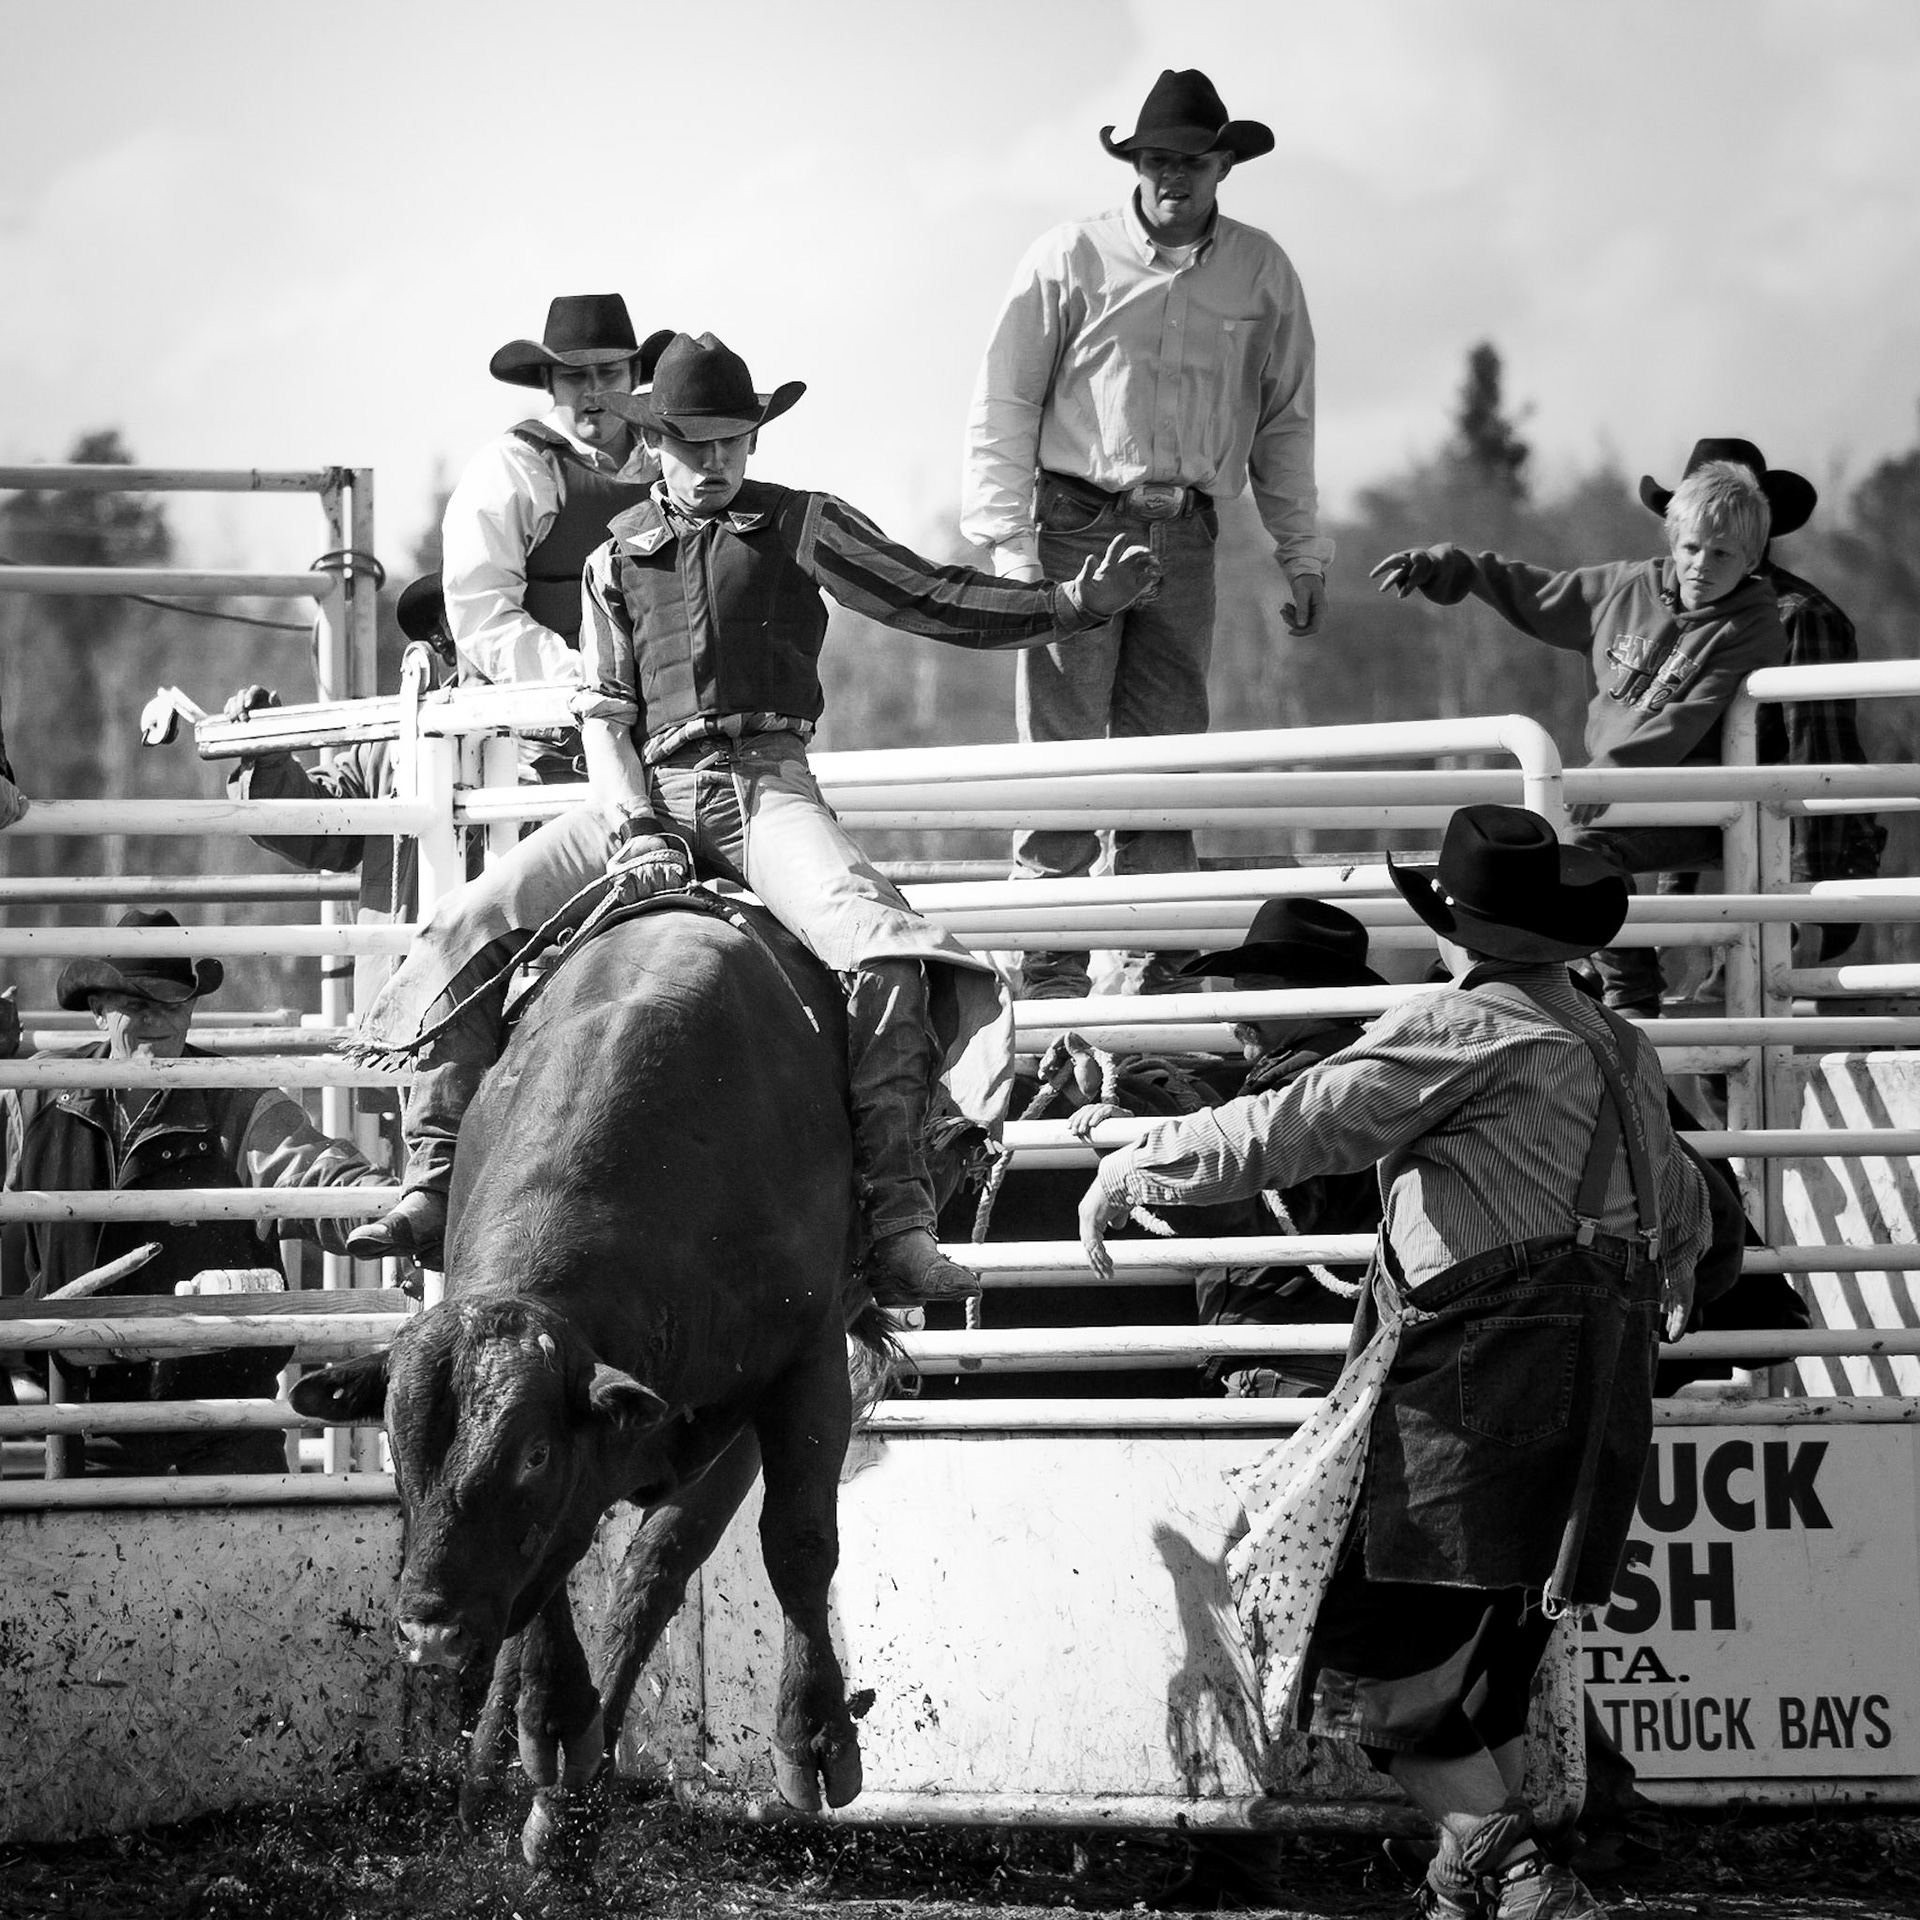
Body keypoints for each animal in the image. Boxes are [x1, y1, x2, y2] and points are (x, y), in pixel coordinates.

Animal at [291, 897, 890, 1861]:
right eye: (392, 1441)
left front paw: (813, 1737)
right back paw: (535, 1784)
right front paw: (550, 1722)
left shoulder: (805, 1362)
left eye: (535, 1453)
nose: (428, 1631)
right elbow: (548, 1576)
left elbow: (796, 1544)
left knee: (655, 1573)